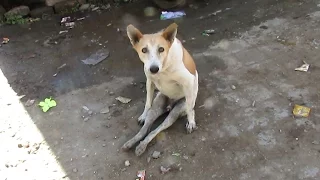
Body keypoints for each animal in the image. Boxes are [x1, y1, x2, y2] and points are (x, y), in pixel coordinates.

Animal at [122, 22, 199, 156]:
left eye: (161, 49)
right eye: (144, 50)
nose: (154, 69)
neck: (164, 66)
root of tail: (169, 106)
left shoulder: (189, 80)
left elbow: (190, 109)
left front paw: (191, 122)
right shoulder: (149, 80)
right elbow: (147, 102)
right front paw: (143, 115)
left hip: (175, 112)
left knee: (157, 129)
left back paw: (141, 146)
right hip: (157, 106)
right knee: (145, 129)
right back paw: (132, 143)